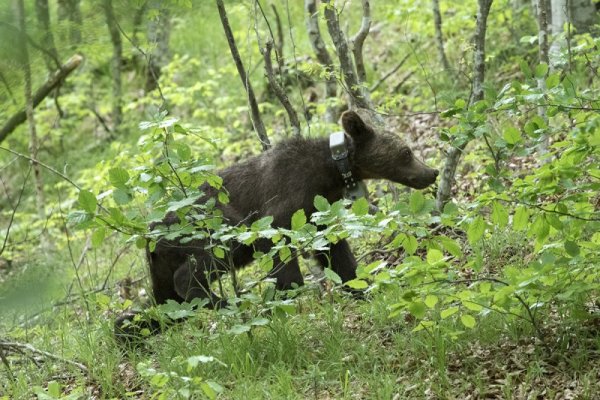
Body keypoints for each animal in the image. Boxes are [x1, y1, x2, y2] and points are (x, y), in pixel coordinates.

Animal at [115, 110, 438, 338]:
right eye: (406, 152)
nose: (432, 172)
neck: (330, 173)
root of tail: (149, 235)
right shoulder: (281, 205)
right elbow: (279, 251)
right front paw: (287, 294)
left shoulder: (318, 214)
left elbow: (335, 252)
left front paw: (361, 286)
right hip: (210, 228)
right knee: (194, 270)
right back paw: (223, 301)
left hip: (161, 266)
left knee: (161, 304)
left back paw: (131, 327)